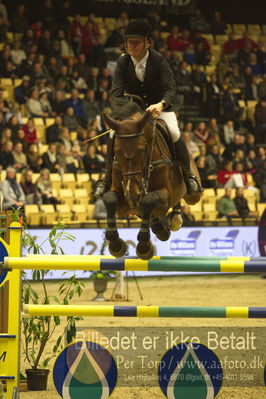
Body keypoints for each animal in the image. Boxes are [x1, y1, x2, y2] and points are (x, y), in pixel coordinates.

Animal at [102, 101, 202, 260]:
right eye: (116, 151)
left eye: (142, 150)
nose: (133, 195)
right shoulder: (123, 200)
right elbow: (110, 198)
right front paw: (115, 244)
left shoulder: (165, 194)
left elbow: (149, 199)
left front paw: (144, 246)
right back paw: (162, 228)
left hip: (193, 196)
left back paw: (175, 219)